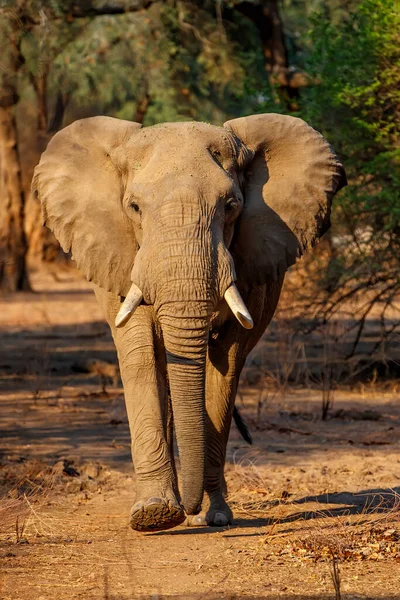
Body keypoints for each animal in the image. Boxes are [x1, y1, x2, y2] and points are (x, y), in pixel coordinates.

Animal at [32, 111, 344, 528]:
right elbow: (140, 352)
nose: (191, 510)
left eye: (230, 206)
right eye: (133, 207)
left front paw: (215, 516)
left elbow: (225, 362)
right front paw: (155, 515)